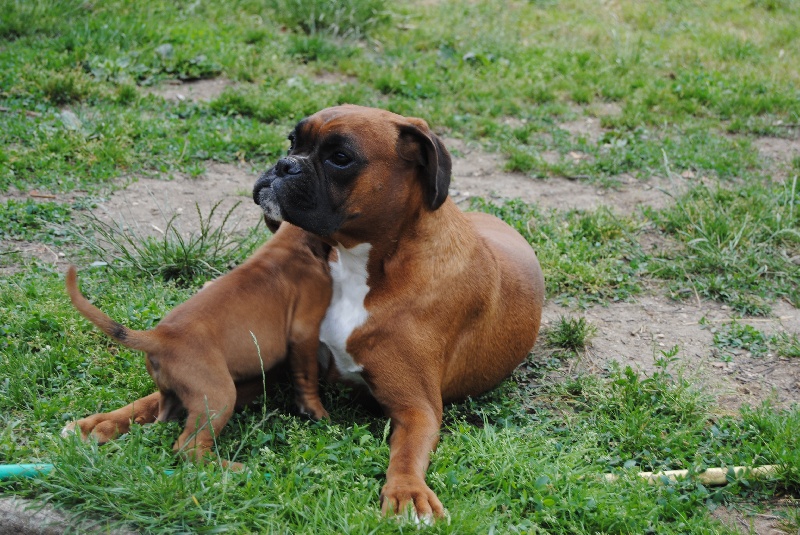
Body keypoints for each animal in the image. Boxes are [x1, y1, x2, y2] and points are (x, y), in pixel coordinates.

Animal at [62, 222, 332, 468]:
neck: (289, 245)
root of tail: (161, 336)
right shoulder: (305, 332)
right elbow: (307, 376)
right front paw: (317, 411)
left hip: (175, 399)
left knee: (158, 423)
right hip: (219, 397)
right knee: (187, 447)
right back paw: (234, 469)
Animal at [253, 104, 545, 519]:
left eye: (340, 157)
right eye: (293, 142)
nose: (284, 164)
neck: (363, 264)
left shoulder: (417, 410)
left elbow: (406, 454)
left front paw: (408, 491)